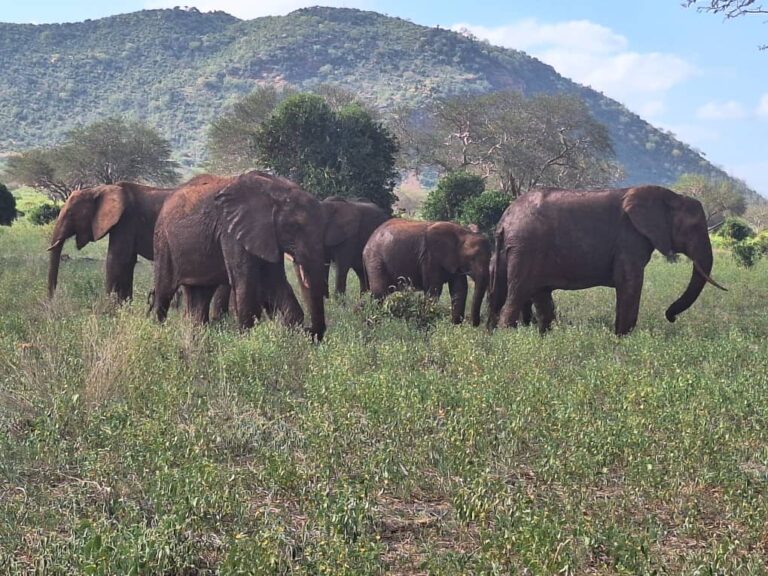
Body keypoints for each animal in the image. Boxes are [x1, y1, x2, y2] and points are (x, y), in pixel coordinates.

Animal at [151, 171, 327, 340]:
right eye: (294, 227)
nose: (310, 331)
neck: (275, 190)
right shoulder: (230, 232)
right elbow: (245, 282)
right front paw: (246, 340)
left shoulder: (267, 235)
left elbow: (275, 282)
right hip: (163, 241)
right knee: (164, 293)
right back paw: (158, 333)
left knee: (200, 297)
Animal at [363, 219, 491, 326]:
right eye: (472, 259)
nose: (474, 324)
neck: (463, 234)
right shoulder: (429, 257)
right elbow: (433, 290)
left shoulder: (455, 262)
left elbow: (459, 290)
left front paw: (455, 327)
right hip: (375, 259)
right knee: (379, 294)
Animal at [488, 185, 726, 335]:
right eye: (694, 227)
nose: (671, 317)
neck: (670, 196)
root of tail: (504, 220)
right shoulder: (629, 238)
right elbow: (630, 283)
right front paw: (622, 339)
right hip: (525, 249)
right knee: (518, 294)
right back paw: (508, 339)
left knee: (537, 297)